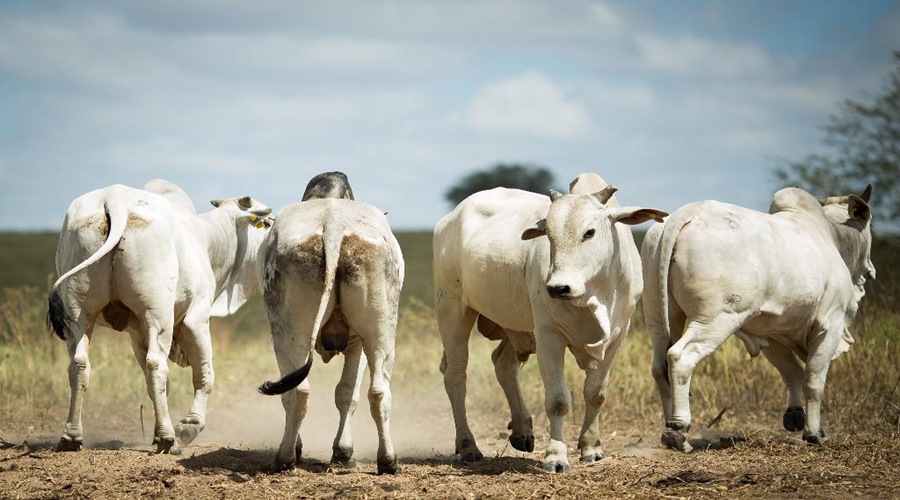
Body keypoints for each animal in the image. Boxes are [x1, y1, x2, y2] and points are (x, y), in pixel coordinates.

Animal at [46, 181, 270, 454]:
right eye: (266, 223)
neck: (206, 238)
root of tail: (114, 199)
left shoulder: (136, 332)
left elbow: (161, 386)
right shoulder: (196, 318)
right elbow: (204, 376)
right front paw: (189, 425)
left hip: (79, 312)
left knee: (79, 364)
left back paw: (71, 437)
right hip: (157, 314)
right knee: (156, 365)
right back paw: (166, 437)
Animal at [256, 174, 404, 474]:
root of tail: (334, 225)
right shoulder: (357, 342)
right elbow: (347, 393)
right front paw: (343, 452)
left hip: (289, 333)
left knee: (296, 391)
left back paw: (285, 457)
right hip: (379, 330)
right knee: (378, 392)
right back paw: (388, 461)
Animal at [436, 174, 668, 470]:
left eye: (589, 232)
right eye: (548, 234)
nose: (558, 288)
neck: (594, 294)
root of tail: (451, 217)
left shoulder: (617, 335)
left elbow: (596, 393)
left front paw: (591, 447)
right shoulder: (548, 335)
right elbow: (558, 400)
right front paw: (556, 457)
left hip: (518, 324)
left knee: (503, 365)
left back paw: (522, 431)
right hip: (452, 309)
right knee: (456, 376)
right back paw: (468, 445)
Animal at [644, 186, 876, 452]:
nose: (870, 268)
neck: (831, 235)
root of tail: (685, 213)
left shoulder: (769, 330)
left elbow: (792, 371)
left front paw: (795, 414)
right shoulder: (830, 324)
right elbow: (813, 380)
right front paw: (814, 433)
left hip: (657, 316)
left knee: (659, 366)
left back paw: (669, 429)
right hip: (715, 318)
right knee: (680, 357)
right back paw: (679, 428)